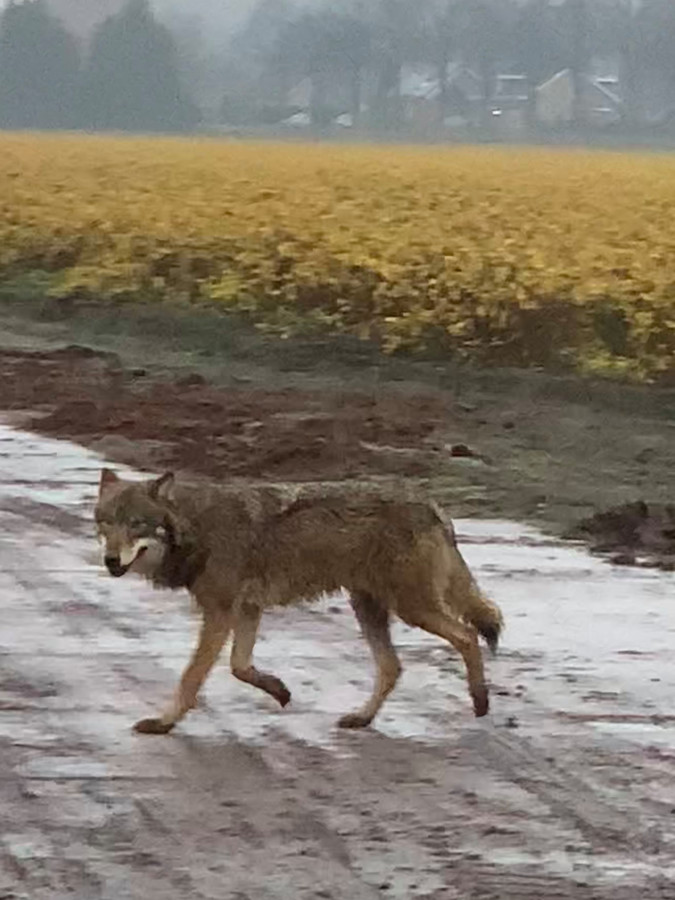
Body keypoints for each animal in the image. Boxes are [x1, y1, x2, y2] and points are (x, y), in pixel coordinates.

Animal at [95, 468, 502, 736]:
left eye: (136, 523)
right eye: (105, 523)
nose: (111, 561)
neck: (196, 527)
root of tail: (433, 504)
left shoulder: (220, 612)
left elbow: (191, 677)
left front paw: (164, 723)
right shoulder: (247, 609)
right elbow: (240, 666)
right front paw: (279, 690)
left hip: (410, 608)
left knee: (467, 635)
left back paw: (481, 701)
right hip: (368, 608)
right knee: (393, 667)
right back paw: (362, 718)